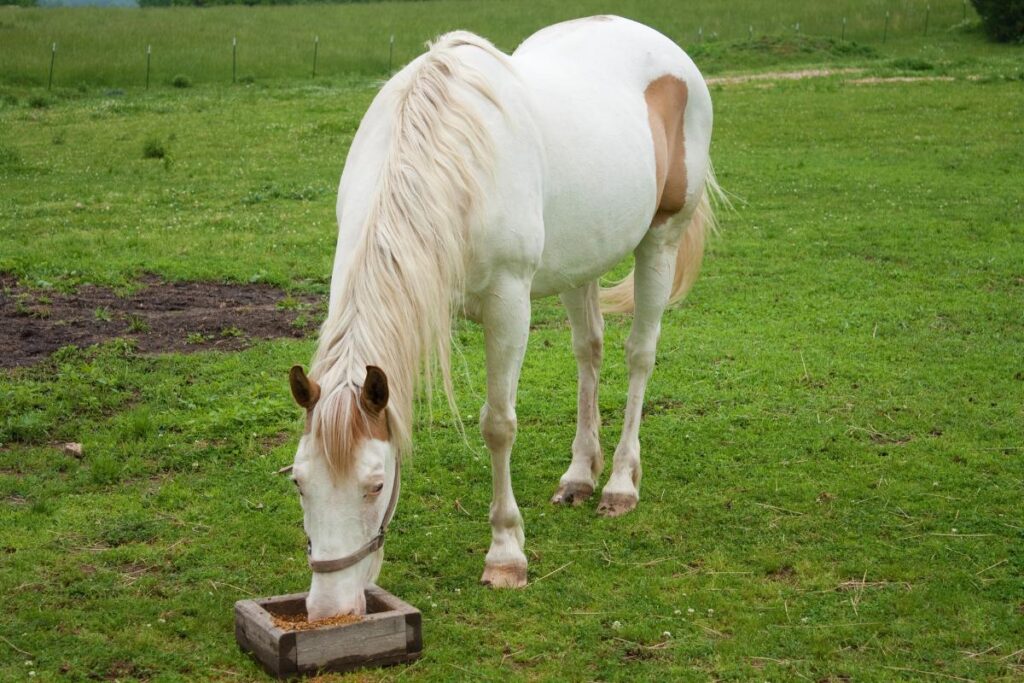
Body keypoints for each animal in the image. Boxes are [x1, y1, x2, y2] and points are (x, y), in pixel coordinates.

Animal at [288, 15, 720, 622]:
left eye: (374, 484)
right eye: (300, 483)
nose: (331, 609)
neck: (449, 162)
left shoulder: (508, 304)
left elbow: (498, 425)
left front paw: (506, 553)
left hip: (660, 240)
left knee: (639, 356)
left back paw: (618, 484)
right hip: (580, 262)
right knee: (589, 351)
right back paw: (579, 476)